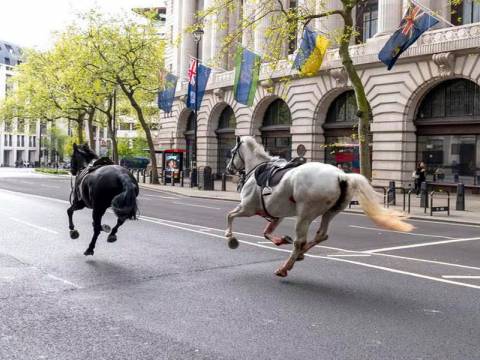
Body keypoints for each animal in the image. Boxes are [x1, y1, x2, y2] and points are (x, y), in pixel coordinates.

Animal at [225, 136, 412, 278]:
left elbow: (230, 215)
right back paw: (299, 255)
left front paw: (231, 238)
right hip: (330, 212)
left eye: (232, 152)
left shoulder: (247, 208)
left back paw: (285, 267)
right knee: (321, 235)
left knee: (300, 241)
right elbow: (266, 232)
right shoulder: (277, 214)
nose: (228, 169)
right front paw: (281, 240)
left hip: (305, 214)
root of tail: (342, 176)